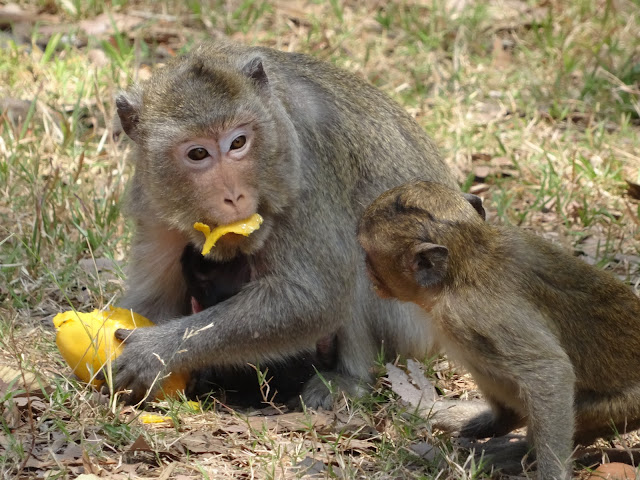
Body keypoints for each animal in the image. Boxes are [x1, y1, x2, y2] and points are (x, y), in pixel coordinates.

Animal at [112, 39, 458, 404]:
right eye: (197, 153)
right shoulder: (153, 200)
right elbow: (152, 299)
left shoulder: (304, 161)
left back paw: (348, 379)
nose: (233, 196)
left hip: (412, 328)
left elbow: (315, 297)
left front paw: (157, 351)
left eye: (238, 142)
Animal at [358, 181, 640, 480]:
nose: (367, 272)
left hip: (618, 409)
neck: (469, 263)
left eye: (368, 254)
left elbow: (550, 371)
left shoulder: (469, 313)